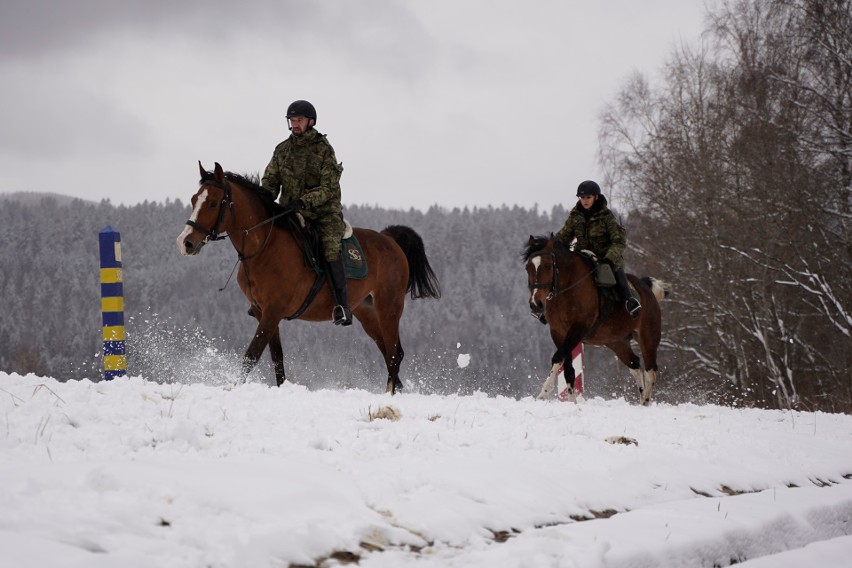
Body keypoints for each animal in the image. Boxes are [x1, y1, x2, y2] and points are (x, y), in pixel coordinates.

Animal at [173, 160, 440, 390]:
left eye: (213, 203)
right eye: (194, 199)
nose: (185, 242)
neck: (265, 247)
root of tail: (390, 240)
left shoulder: (273, 311)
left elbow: (252, 354)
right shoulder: (262, 311)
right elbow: (276, 357)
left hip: (389, 308)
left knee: (394, 354)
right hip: (367, 312)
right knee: (389, 351)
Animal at [524, 234, 668, 404]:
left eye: (547, 266)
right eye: (528, 268)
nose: (536, 304)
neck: (568, 288)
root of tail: (647, 290)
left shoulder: (578, 329)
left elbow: (558, 358)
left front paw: (543, 394)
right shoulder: (559, 333)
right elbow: (568, 369)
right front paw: (572, 401)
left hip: (648, 338)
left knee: (650, 371)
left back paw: (645, 401)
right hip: (617, 342)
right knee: (636, 366)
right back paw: (641, 399)